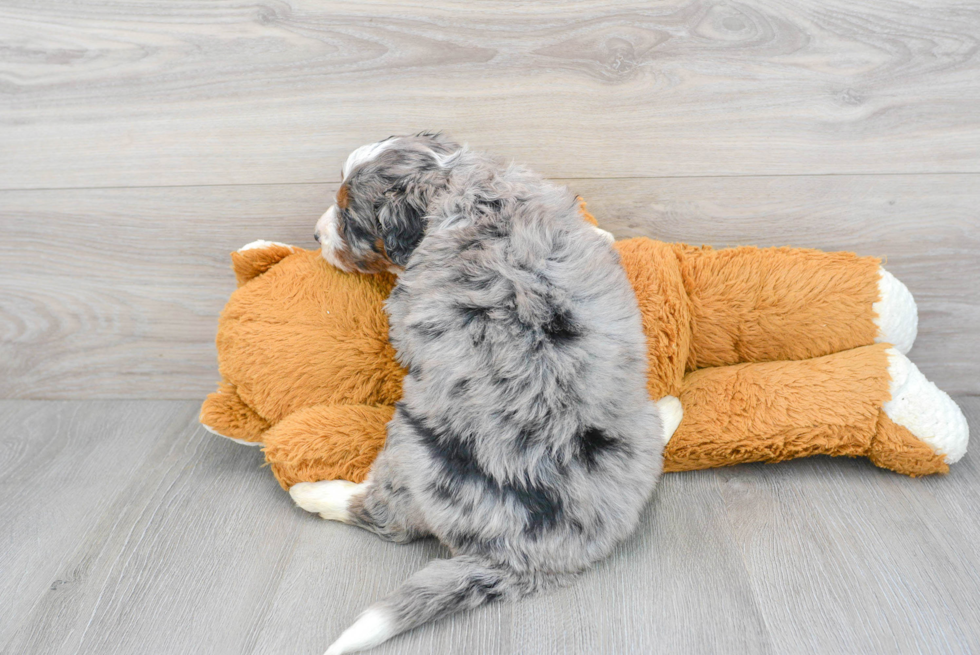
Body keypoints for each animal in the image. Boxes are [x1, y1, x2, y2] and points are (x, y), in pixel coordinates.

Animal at [288, 135, 664, 655]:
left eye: (350, 219)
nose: (314, 233)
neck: (458, 185)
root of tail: (531, 559)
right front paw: (607, 237)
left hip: (413, 451)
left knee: (385, 517)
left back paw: (312, 492)